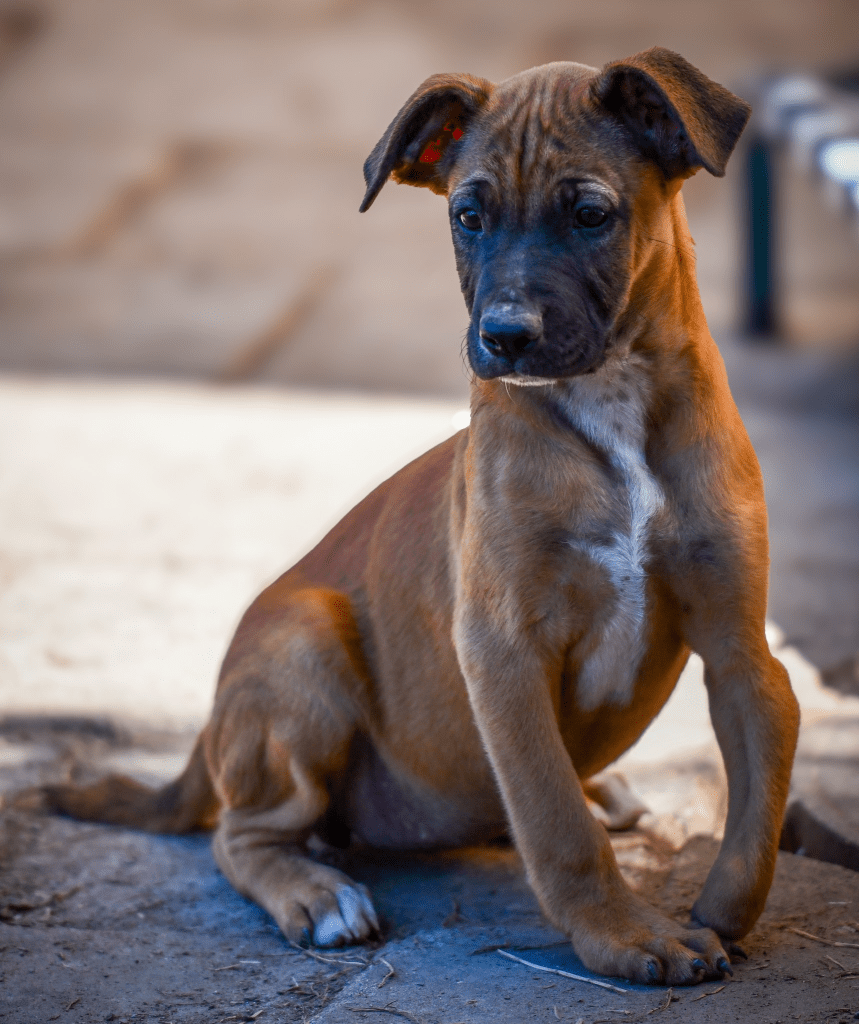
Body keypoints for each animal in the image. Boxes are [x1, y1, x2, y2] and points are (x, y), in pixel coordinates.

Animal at [36, 47, 800, 986]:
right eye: (468, 216)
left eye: (589, 214)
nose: (503, 336)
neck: (611, 407)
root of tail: (210, 727)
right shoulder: (504, 649)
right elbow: (553, 820)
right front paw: (626, 933)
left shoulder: (740, 649)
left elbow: (757, 811)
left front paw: (720, 916)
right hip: (304, 643)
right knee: (241, 835)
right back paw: (318, 895)